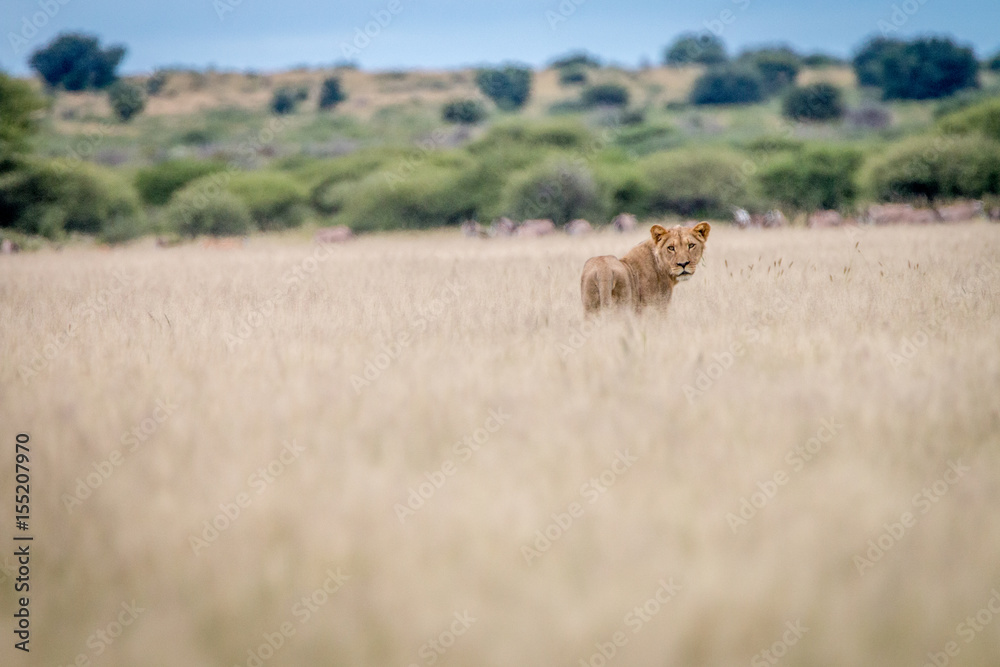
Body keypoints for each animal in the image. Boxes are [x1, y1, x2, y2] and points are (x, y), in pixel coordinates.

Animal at [580, 222, 710, 313]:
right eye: (671, 248)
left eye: (691, 245)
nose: (683, 264)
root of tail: (604, 271)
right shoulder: (657, 307)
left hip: (590, 308)